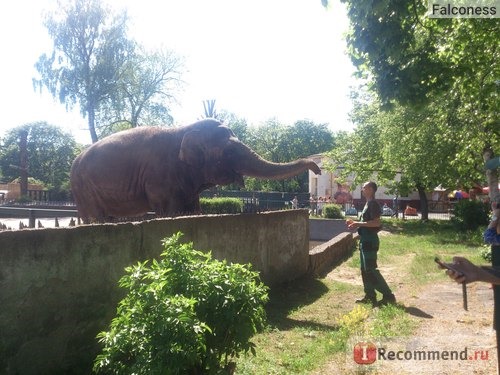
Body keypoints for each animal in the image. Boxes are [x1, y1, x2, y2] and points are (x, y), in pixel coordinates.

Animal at [69, 119, 320, 222]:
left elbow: (192, 209)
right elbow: (170, 211)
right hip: (84, 189)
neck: (183, 130)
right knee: (95, 217)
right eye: (229, 152)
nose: (316, 168)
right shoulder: (160, 179)